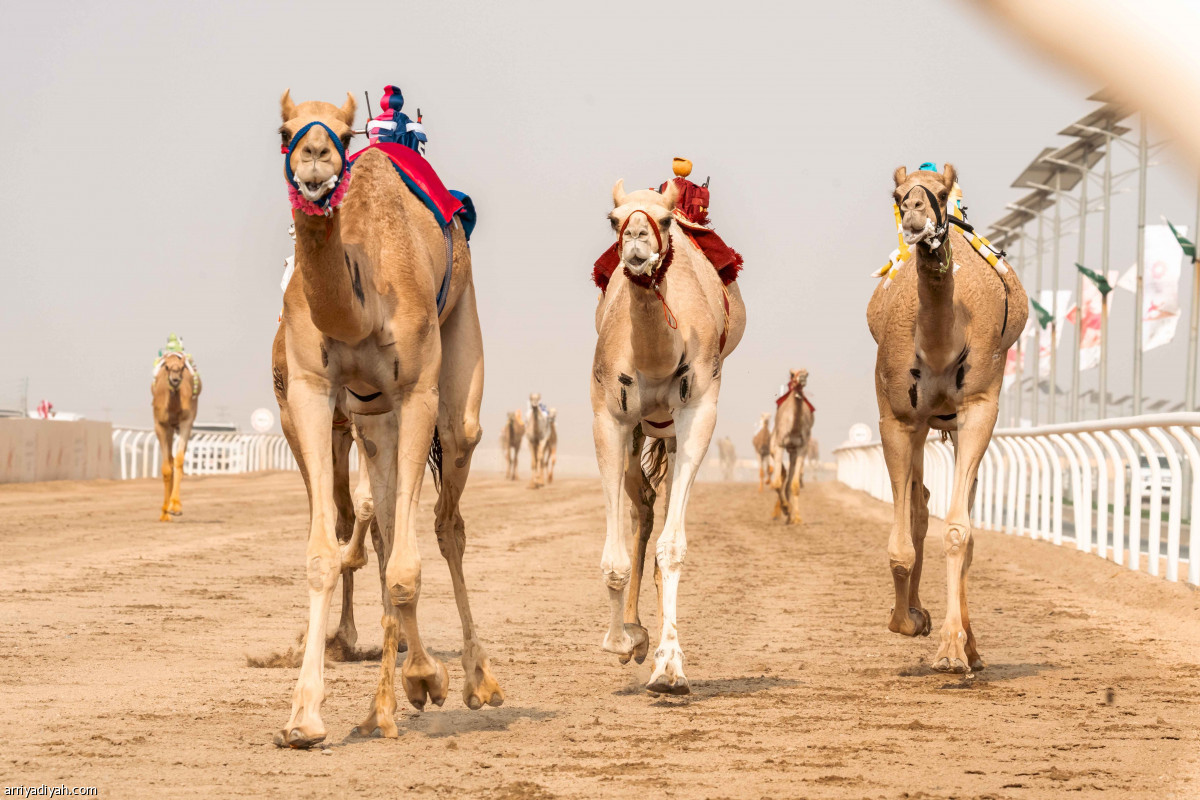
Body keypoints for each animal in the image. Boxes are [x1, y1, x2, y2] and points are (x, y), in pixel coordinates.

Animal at [273, 90, 501, 748]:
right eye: (284, 131)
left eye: (345, 132)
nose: (315, 158)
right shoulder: (309, 392)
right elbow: (325, 553)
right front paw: (305, 718)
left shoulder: (417, 389)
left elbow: (405, 565)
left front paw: (421, 683)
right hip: (370, 419)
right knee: (383, 519)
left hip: (457, 358)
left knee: (448, 521)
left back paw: (473, 679)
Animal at [588, 178, 744, 690]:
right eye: (613, 219)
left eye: (665, 220)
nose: (637, 239)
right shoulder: (609, 417)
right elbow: (614, 557)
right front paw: (622, 641)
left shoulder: (698, 411)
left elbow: (672, 548)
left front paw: (669, 664)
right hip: (640, 429)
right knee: (642, 507)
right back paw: (635, 631)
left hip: (670, 433)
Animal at [768, 369, 816, 525]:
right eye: (792, 374)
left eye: (807, 373)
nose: (802, 377)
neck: (793, 428)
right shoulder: (779, 445)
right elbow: (777, 483)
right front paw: (785, 508)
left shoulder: (801, 448)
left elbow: (794, 485)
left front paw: (796, 516)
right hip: (774, 446)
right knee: (782, 476)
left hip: (793, 452)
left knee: (789, 481)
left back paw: (791, 516)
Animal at [868, 165, 1027, 671]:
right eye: (897, 194)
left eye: (939, 193)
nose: (915, 214)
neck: (939, 345)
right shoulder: (897, 417)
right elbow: (904, 537)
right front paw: (909, 619)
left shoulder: (978, 406)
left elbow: (959, 531)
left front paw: (955, 649)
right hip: (924, 424)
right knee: (920, 503)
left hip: (957, 423)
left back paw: (971, 648)